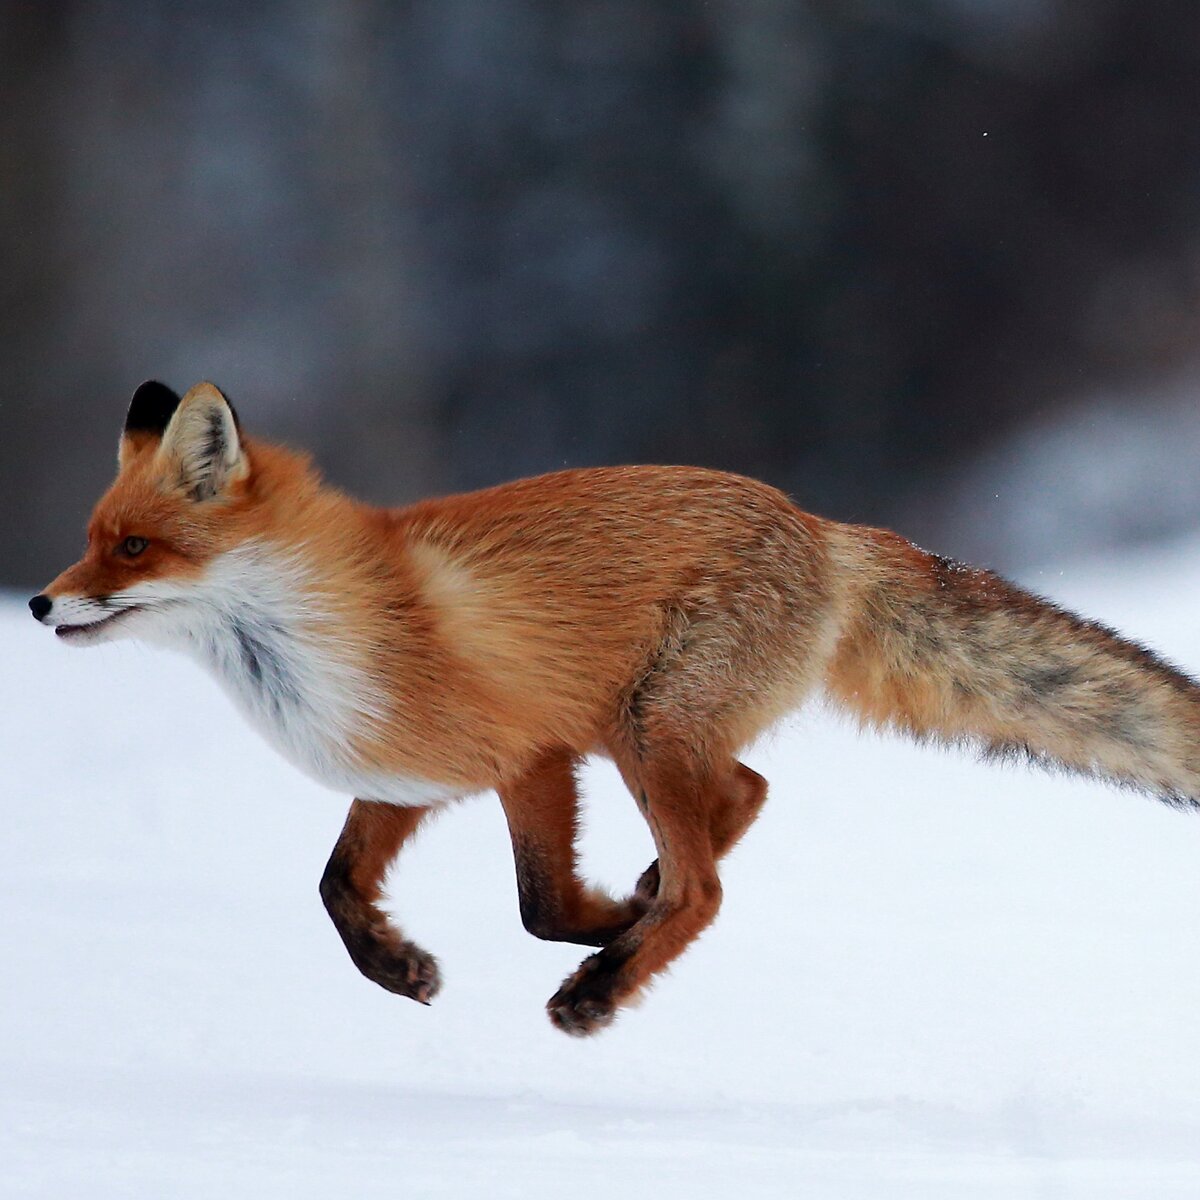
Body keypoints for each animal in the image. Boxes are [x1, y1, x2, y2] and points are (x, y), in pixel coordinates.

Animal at [28, 381, 1200, 1032]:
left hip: (647, 731)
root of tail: (821, 527)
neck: (325, 635)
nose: (39, 603)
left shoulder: (531, 756)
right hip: (650, 732)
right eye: (90, 538)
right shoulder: (404, 782)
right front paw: (400, 968)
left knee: (708, 883)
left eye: (132, 548)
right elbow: (335, 888)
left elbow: (543, 903)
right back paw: (634, 912)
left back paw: (601, 989)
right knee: (745, 796)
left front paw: (600, 939)